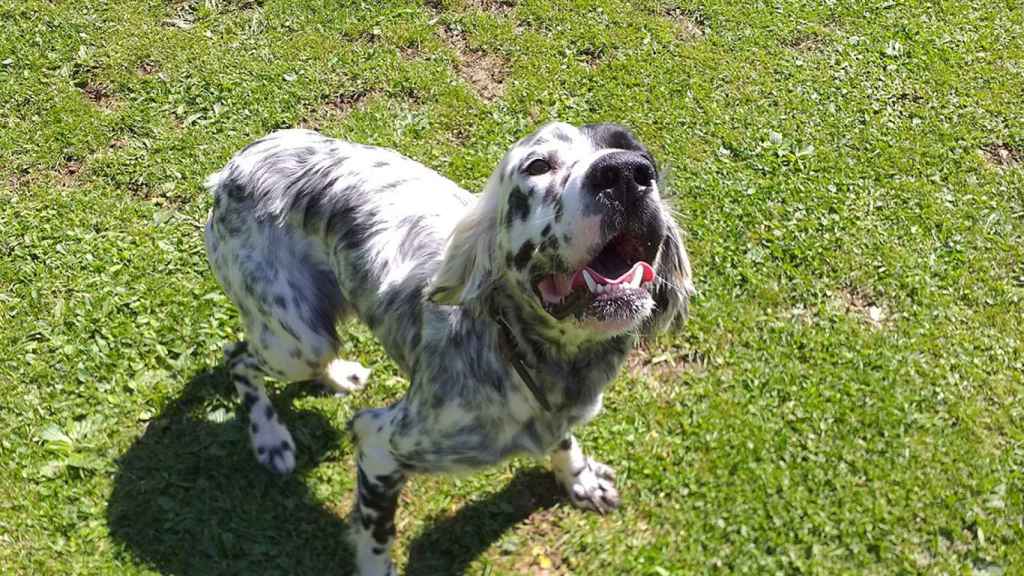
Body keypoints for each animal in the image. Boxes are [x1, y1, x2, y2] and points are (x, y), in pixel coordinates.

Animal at [199, 119, 696, 569]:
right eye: (538, 166)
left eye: (641, 156)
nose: (627, 174)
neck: (520, 354)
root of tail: (237, 165)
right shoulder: (379, 442)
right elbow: (377, 534)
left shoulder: (559, 415)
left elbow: (564, 442)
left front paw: (580, 479)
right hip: (298, 341)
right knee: (237, 357)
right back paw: (270, 438)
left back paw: (338, 376)